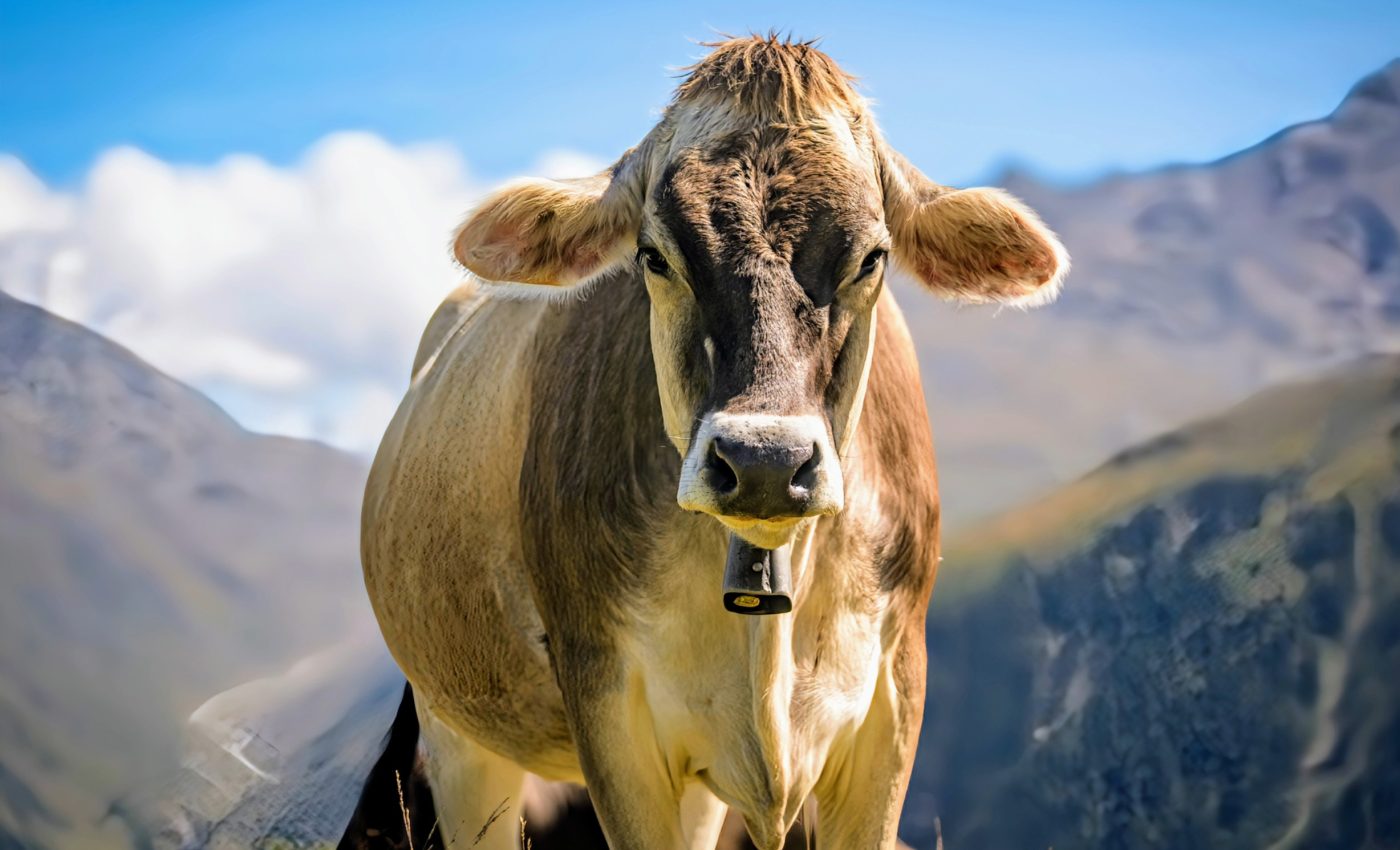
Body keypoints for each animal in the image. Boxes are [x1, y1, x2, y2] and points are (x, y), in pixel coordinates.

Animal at [345, 34, 1066, 850]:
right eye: (654, 257)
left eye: (872, 258)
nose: (763, 461)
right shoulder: (608, 707)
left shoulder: (892, 703)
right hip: (457, 732)